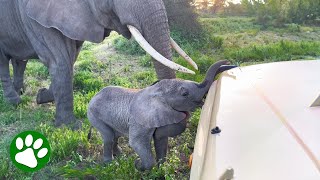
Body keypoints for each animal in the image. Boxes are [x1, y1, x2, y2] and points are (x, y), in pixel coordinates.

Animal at [0, 0, 198, 126]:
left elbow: (71, 59)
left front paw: (42, 97)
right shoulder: (33, 18)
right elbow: (60, 62)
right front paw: (69, 127)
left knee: (19, 61)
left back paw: (20, 92)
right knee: (3, 62)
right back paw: (14, 101)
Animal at [87, 60, 235, 170]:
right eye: (184, 94)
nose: (231, 63)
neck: (156, 91)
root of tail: (93, 97)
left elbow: (160, 137)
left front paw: (161, 168)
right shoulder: (140, 121)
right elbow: (137, 142)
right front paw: (139, 164)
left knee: (115, 136)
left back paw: (120, 155)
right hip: (93, 115)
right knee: (108, 137)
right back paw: (110, 163)